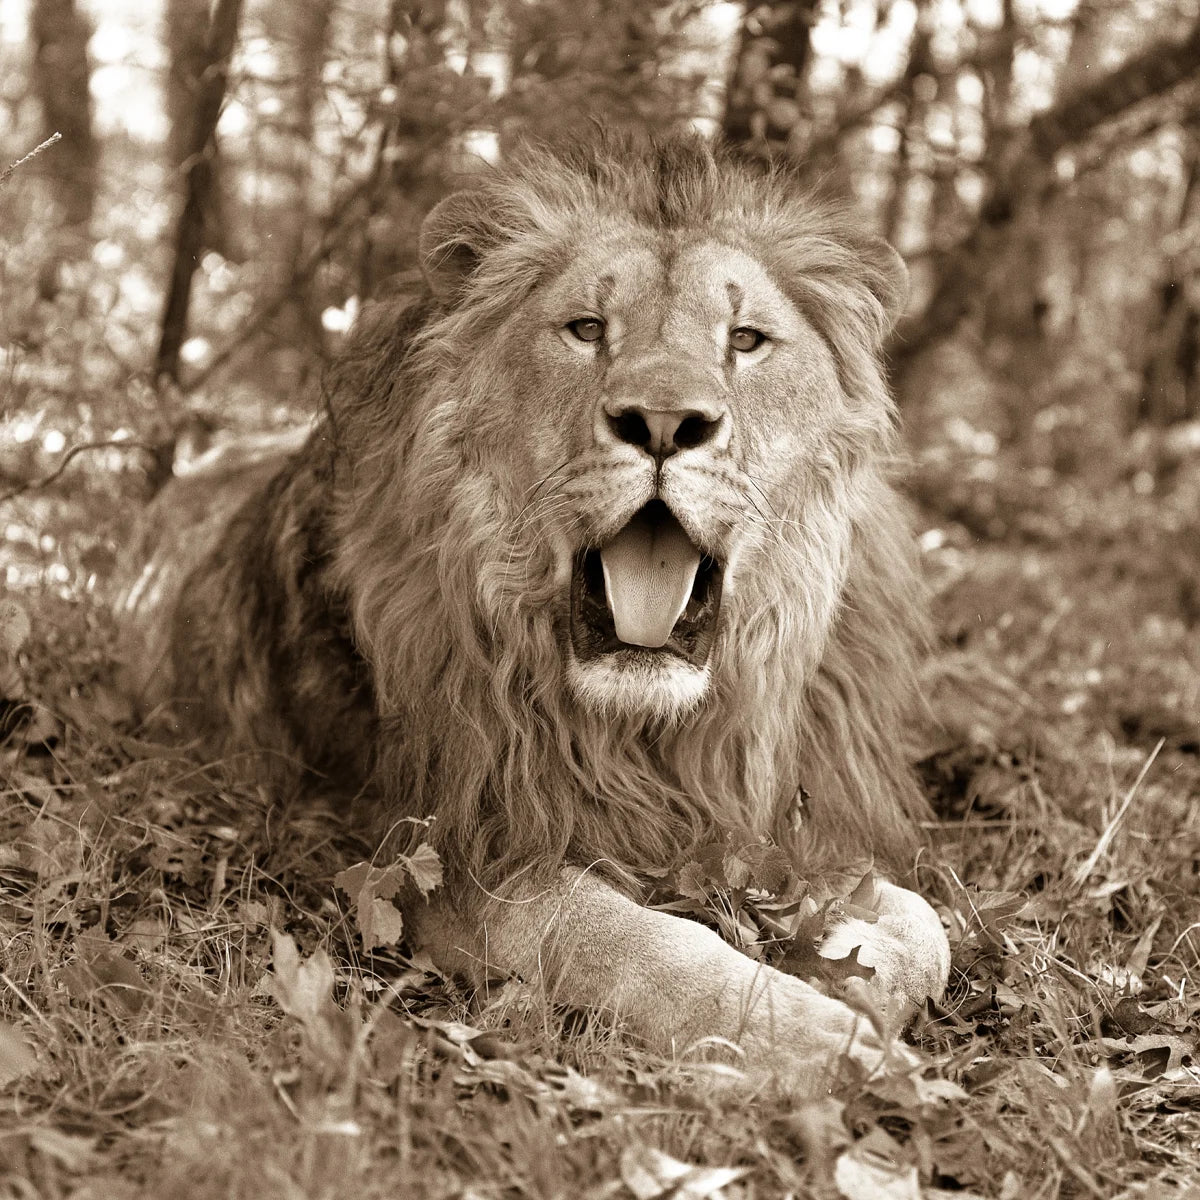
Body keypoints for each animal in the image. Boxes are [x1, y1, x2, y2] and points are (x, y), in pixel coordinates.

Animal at [117, 133, 950, 1088]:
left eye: (745, 340)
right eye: (587, 329)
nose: (664, 420)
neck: (646, 733)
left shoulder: (758, 815)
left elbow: (926, 927)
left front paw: (852, 969)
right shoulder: (436, 859)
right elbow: (623, 938)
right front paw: (816, 1037)